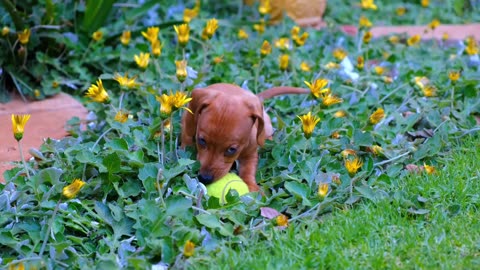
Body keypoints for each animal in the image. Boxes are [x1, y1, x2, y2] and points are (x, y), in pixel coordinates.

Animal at [180, 83, 308, 191]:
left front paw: (251, 186)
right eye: (201, 141)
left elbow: (248, 170)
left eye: (232, 149)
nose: (204, 178)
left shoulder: (250, 153)